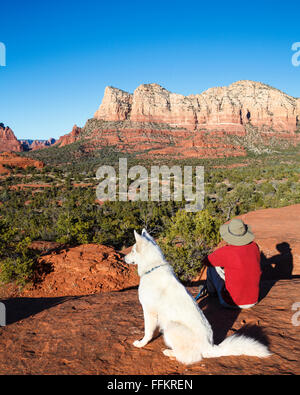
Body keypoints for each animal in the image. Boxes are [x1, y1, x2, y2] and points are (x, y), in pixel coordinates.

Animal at [125, 229, 270, 366]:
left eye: (132, 250)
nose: (123, 258)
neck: (153, 267)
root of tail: (210, 347)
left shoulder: (149, 310)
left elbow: (148, 332)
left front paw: (141, 343)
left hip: (172, 326)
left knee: (190, 357)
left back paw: (170, 352)